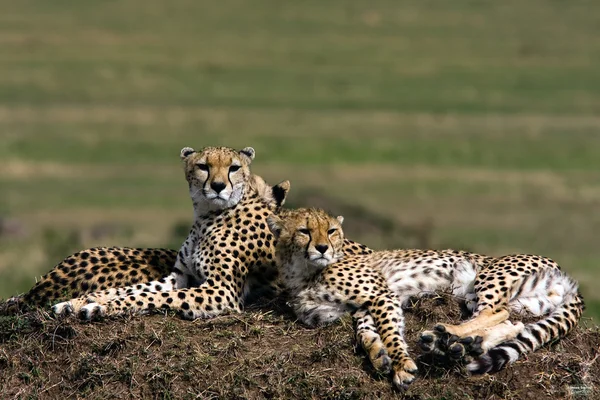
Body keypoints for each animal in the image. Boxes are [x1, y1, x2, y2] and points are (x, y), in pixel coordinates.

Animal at [266, 208, 580, 390]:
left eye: (331, 231)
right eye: (304, 231)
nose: (322, 248)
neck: (302, 272)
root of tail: (564, 274)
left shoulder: (382, 293)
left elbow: (390, 331)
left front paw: (402, 365)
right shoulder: (361, 307)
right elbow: (366, 332)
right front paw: (379, 355)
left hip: (486, 276)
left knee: (496, 312)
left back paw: (445, 335)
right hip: (512, 301)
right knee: (513, 323)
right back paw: (467, 343)